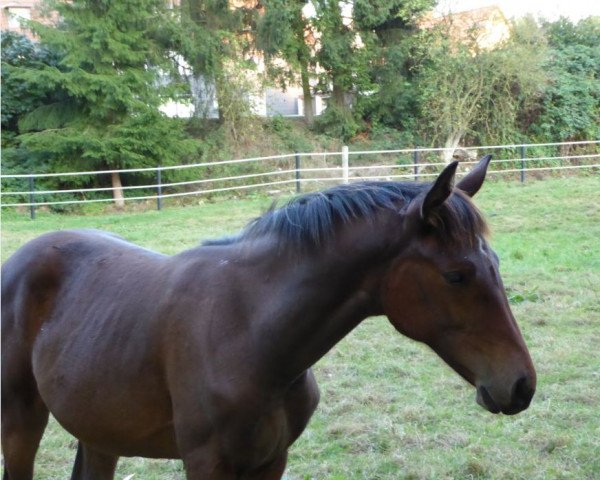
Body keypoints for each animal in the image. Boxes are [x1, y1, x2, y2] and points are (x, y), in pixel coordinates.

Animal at [0, 156, 536, 478]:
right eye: (456, 275)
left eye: (495, 263)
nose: (521, 385)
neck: (249, 331)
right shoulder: (207, 463)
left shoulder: (271, 460)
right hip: (21, 421)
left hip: (99, 433)